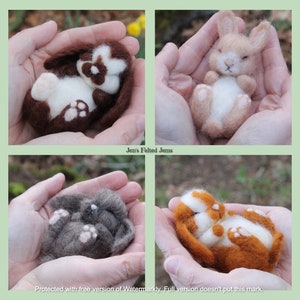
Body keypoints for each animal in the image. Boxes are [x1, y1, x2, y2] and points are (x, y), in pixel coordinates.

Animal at [191, 10, 270, 139]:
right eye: (219, 50)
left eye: (245, 57)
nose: (228, 63)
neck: (229, 76)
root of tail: (213, 125)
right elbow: (209, 76)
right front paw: (213, 75)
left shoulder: (251, 86)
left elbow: (250, 84)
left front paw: (241, 78)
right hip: (203, 117)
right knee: (200, 118)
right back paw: (203, 91)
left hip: (231, 123)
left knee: (229, 126)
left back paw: (243, 102)